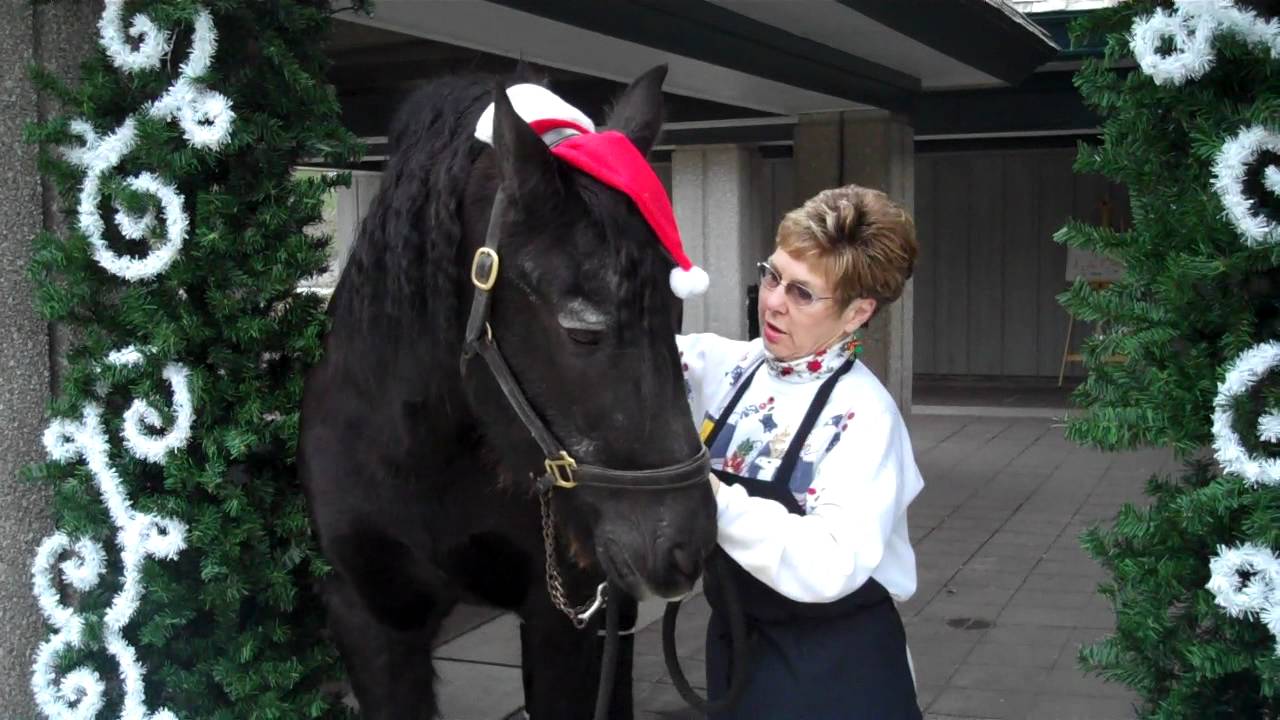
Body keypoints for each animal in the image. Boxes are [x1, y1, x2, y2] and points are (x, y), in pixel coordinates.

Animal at [298, 65, 718, 719]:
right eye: (581, 330)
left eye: (673, 311)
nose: (686, 546)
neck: (427, 459)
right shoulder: (371, 618)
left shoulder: (568, 616)